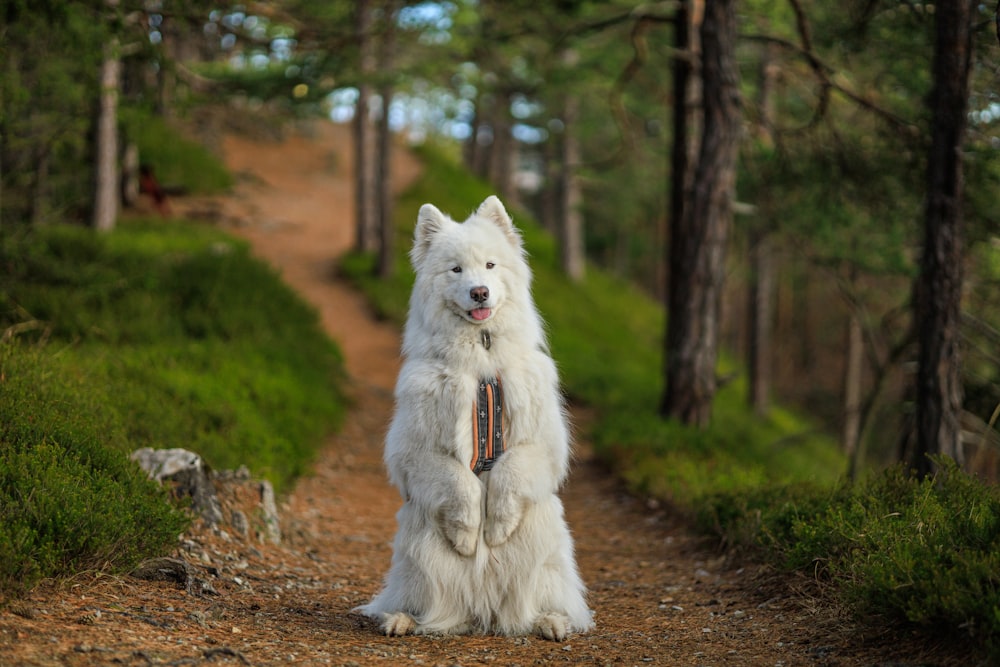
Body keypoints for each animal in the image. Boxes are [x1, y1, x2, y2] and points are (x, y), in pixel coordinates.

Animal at [356, 194, 592, 640]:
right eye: (456, 269)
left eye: (490, 265)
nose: (479, 292)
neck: (481, 359)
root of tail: (483, 615)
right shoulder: (416, 451)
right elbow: (461, 483)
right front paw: (468, 537)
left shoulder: (540, 444)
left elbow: (508, 474)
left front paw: (495, 529)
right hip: (419, 550)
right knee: (418, 602)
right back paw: (401, 619)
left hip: (544, 548)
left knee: (543, 603)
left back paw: (551, 621)